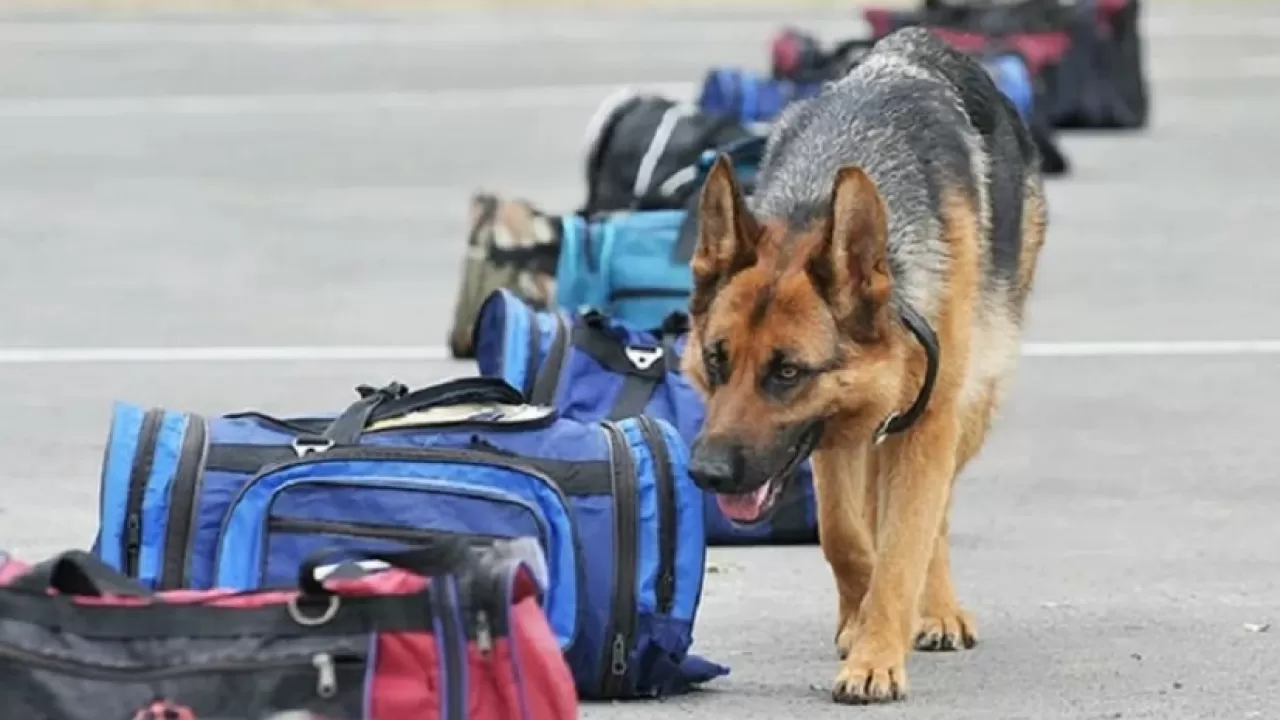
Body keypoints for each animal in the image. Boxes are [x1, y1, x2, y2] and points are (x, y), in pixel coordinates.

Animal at [686, 28, 1044, 702]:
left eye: (787, 372)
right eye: (717, 361)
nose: (706, 474)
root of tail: (923, 38)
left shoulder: (925, 428)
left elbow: (905, 546)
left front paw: (877, 656)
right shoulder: (831, 435)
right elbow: (844, 536)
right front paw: (860, 624)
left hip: (971, 406)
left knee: (938, 514)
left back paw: (937, 610)